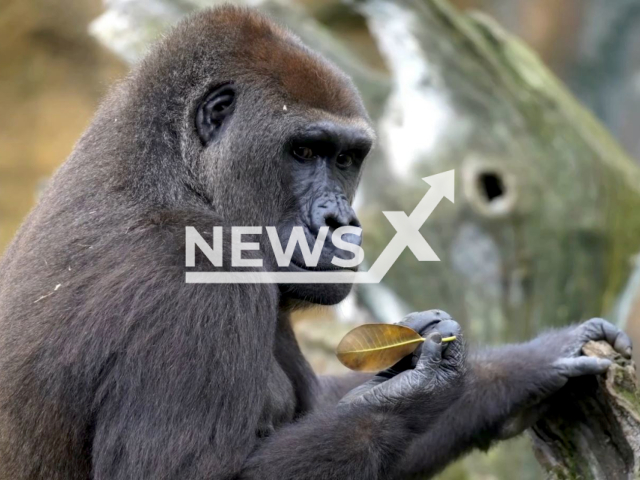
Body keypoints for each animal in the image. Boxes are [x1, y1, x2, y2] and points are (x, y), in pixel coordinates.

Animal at [0, 6, 632, 480]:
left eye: (347, 159)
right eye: (304, 151)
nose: (340, 221)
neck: (174, 174)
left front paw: (527, 363)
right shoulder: (193, 278)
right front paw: (414, 392)